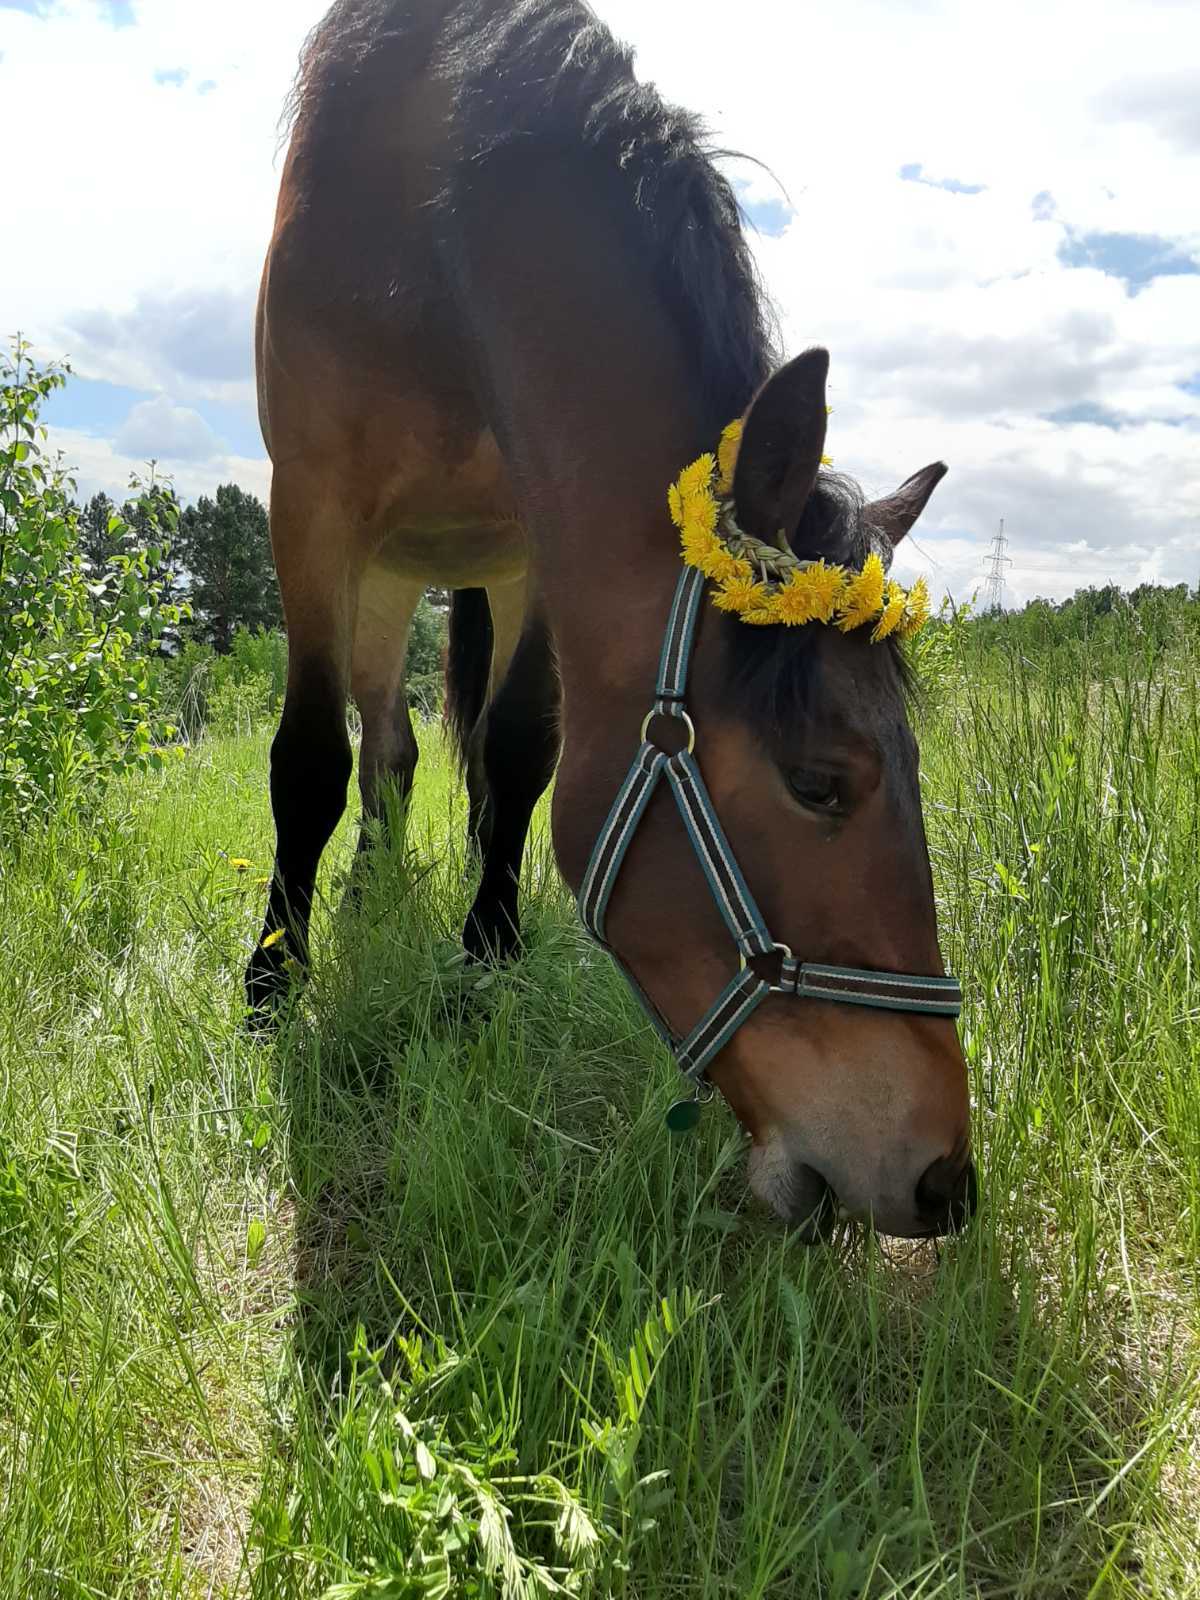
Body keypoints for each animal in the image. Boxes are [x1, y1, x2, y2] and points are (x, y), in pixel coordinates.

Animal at [246, 0, 979, 1235]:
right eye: (819, 783)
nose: (943, 1179)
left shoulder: (539, 541)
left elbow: (518, 751)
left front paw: (487, 958)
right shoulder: (308, 506)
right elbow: (306, 762)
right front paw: (270, 984)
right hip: (377, 578)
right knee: (378, 745)